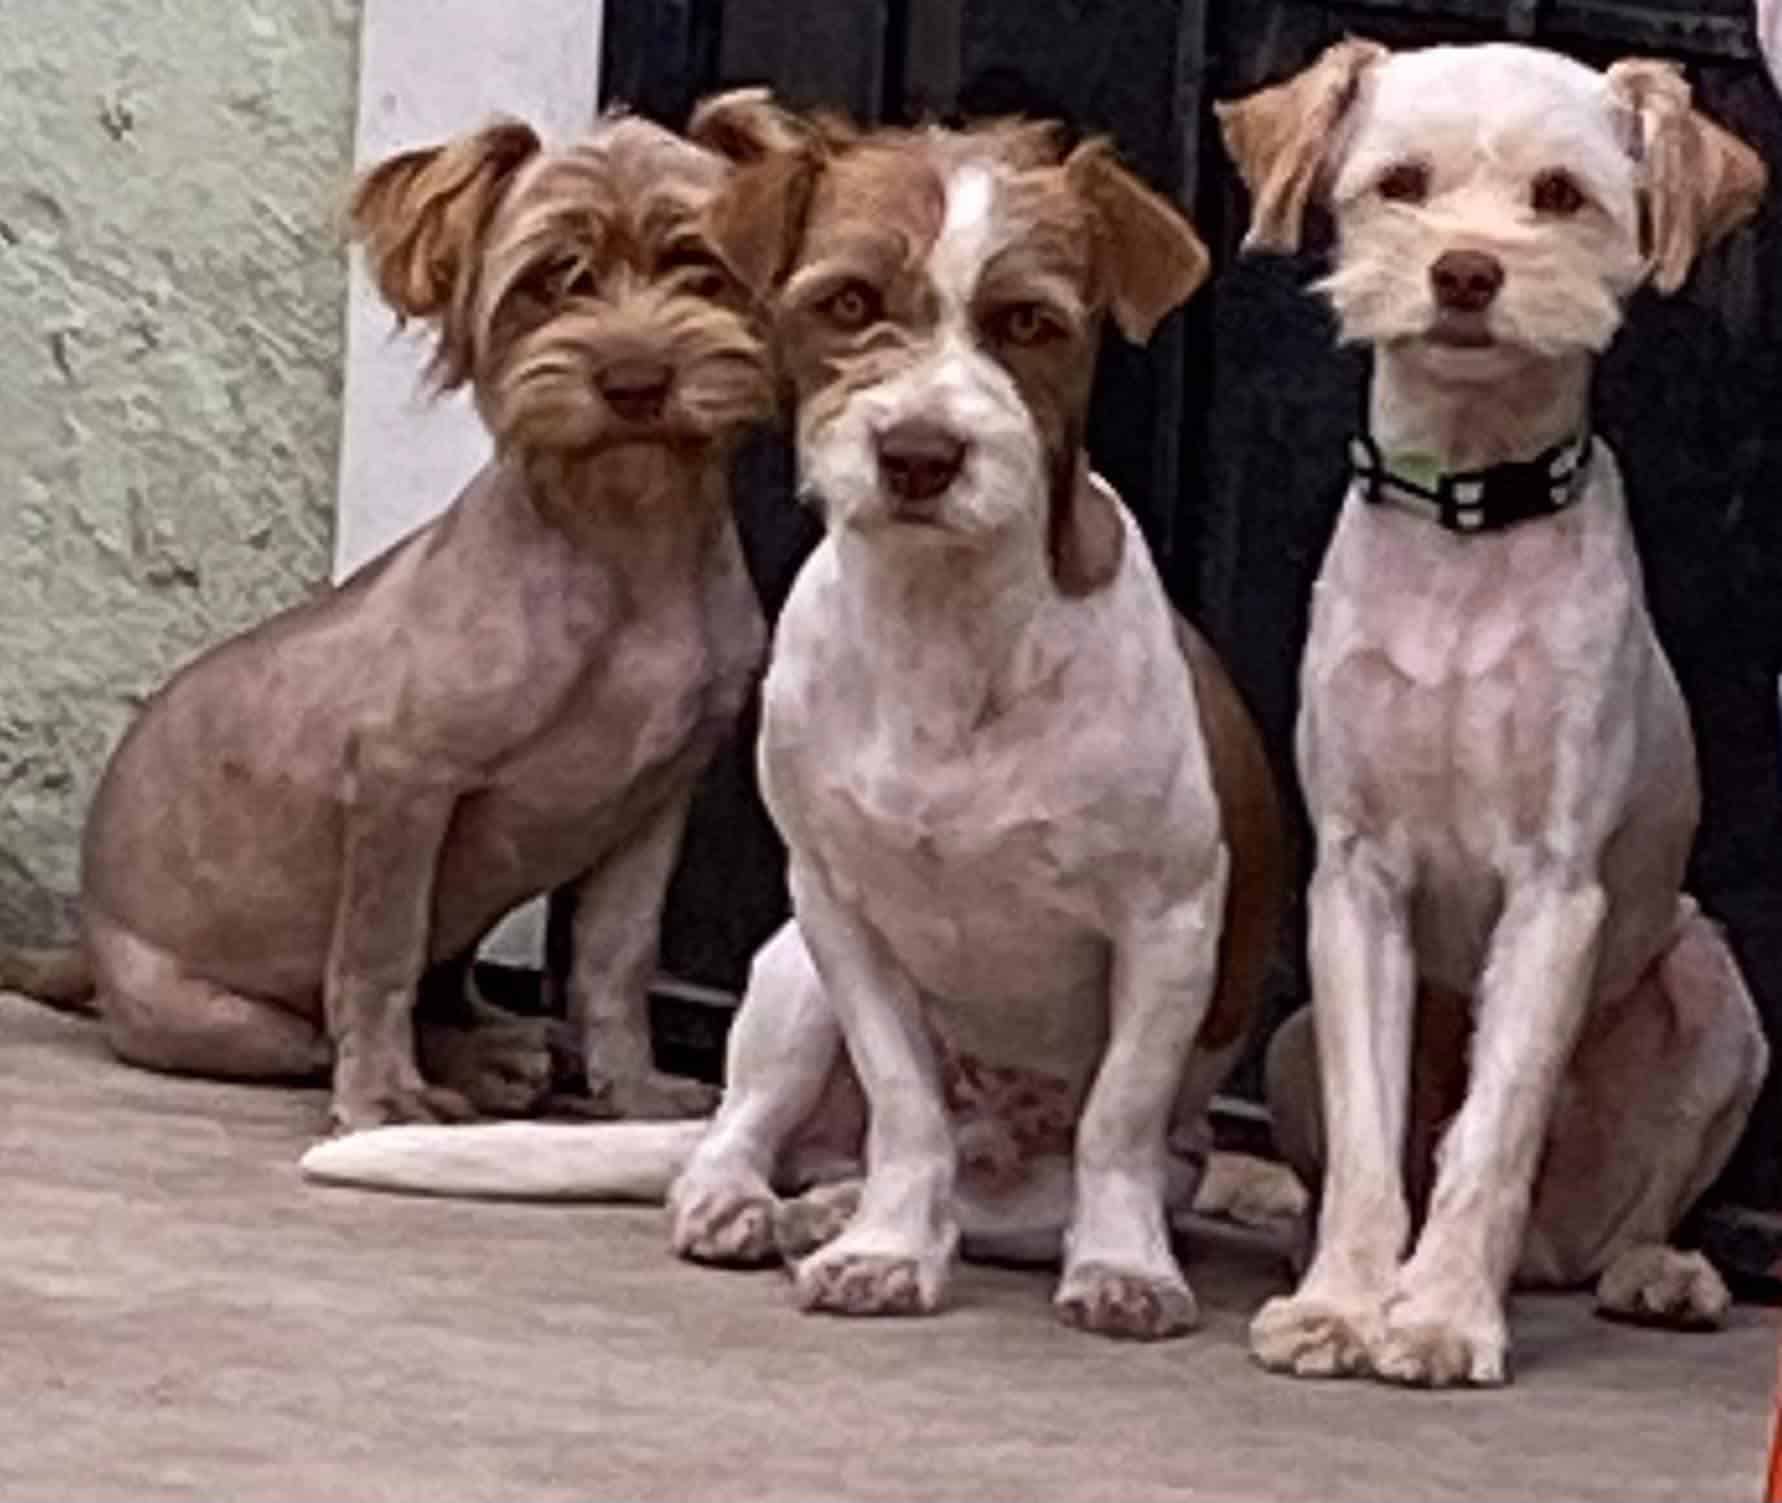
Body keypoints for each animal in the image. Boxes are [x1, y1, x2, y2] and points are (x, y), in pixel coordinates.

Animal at [0, 105, 794, 1133]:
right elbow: (379, 953)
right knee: (321, 1027)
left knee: (451, 994)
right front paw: (381, 1094)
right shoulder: (402, 780)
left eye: (700, 266)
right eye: (552, 282)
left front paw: (634, 1090)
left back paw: (505, 1047)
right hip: (228, 1017)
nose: (634, 379)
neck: (628, 545)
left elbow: (615, 964)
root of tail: (87, 949)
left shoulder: (653, 806)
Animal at [299, 111, 1290, 1347]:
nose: (919, 455)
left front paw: (1121, 1267)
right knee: (751, 1133)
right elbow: (906, 1106)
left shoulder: (1169, 924)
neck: (944, 623)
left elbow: (1116, 1119)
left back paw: (837, 1209)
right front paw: (885, 1249)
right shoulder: (841, 916)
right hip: (786, 983)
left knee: (1018, 1190)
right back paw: (765, 1204)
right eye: (848, 303)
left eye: (1028, 323)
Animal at [1218, 38, 1774, 1390]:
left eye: (1561, 197)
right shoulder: (1355, 880)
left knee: (1637, 1204)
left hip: (1718, 997)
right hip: (1289, 1037)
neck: (1469, 521)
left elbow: (1498, 1120)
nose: (1465, 270)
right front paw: (1341, 1304)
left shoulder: (1557, 888)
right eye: (1400, 183)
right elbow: (1375, 1140)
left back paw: (1655, 1272)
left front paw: (1439, 1317)